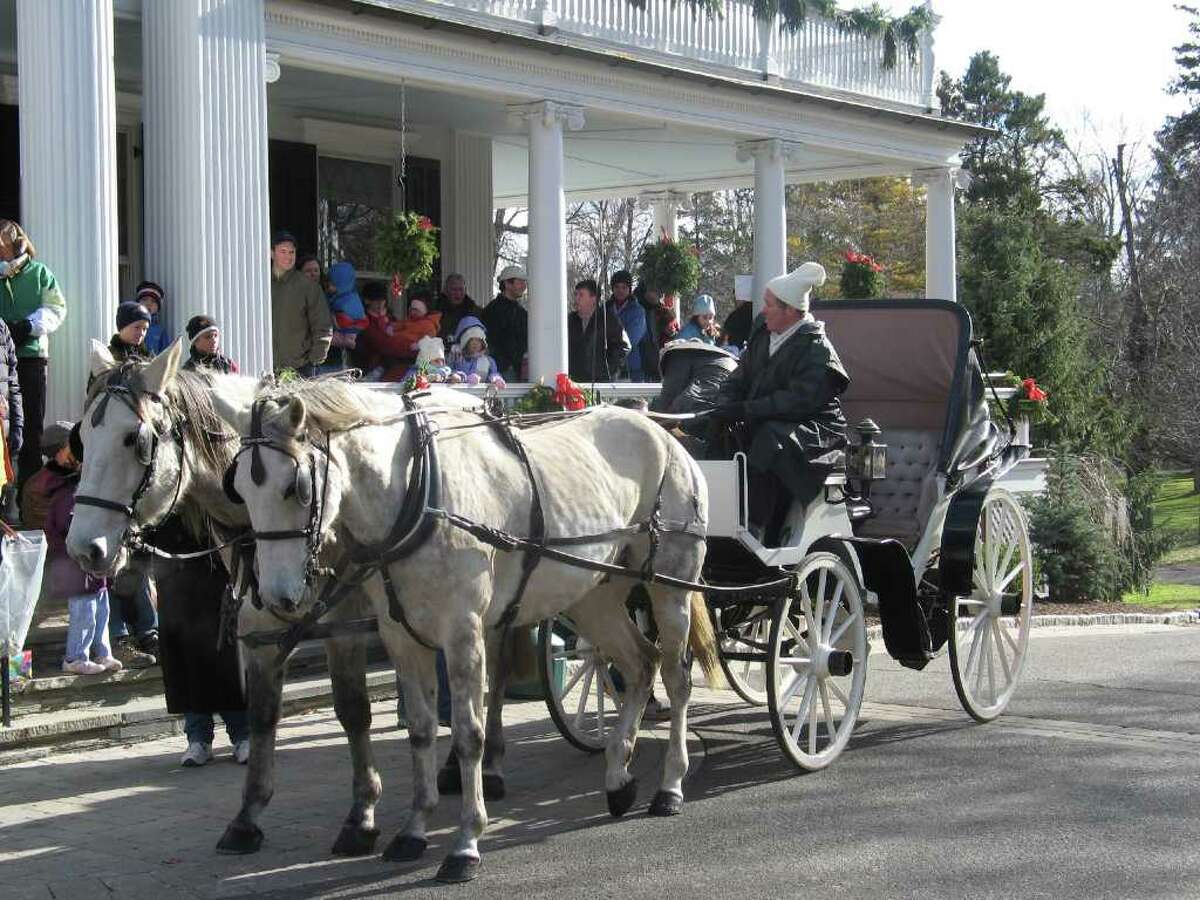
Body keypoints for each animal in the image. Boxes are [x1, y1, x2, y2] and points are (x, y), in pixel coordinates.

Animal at [65, 343, 391, 859]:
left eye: (135, 440)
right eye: (81, 438)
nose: (83, 549)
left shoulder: (344, 623)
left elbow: (353, 709)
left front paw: (361, 815)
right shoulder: (258, 633)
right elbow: (260, 716)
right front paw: (247, 816)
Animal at [230, 381, 720, 888]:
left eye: (297, 488)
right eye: (240, 489)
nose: (276, 598)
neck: (416, 490)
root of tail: (660, 431)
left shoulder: (463, 633)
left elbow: (469, 734)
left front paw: (466, 842)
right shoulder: (402, 639)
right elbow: (422, 731)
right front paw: (413, 830)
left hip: (671, 585)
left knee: (675, 677)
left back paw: (670, 786)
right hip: (593, 596)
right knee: (641, 664)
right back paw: (619, 779)